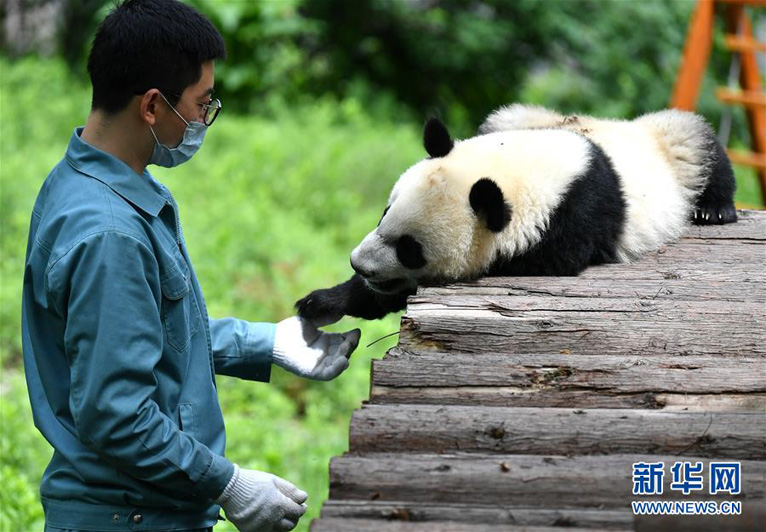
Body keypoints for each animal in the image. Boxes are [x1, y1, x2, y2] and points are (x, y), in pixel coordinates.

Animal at [298, 105, 736, 324]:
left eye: (410, 249)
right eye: (383, 214)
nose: (359, 264)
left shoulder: (570, 222)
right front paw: (323, 302)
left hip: (670, 147)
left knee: (697, 141)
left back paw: (714, 209)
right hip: (517, 115)